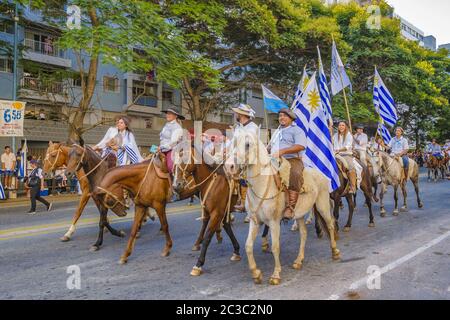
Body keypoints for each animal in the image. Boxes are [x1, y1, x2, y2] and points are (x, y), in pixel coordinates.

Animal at [227, 131, 340, 286]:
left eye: (248, 144)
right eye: (233, 142)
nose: (229, 166)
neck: (262, 184)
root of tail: (321, 175)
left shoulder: (274, 222)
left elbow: (275, 247)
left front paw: (275, 275)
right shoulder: (255, 221)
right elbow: (248, 246)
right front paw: (256, 274)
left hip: (322, 205)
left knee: (330, 224)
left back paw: (335, 252)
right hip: (299, 214)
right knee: (303, 233)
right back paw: (298, 261)